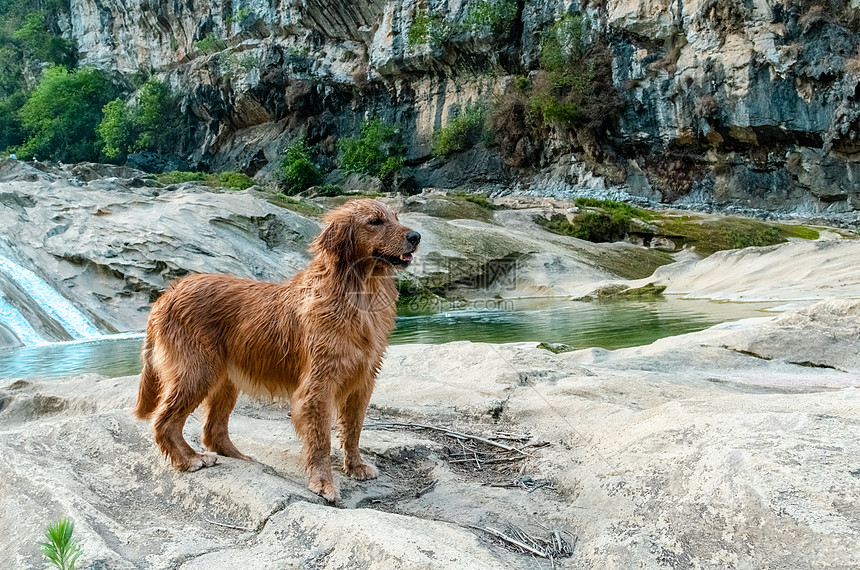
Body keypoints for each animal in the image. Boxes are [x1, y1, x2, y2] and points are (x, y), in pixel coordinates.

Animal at [133, 197, 422, 500]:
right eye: (375, 222)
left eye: (396, 217)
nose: (416, 236)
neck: (359, 291)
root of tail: (167, 293)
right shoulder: (318, 385)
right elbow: (322, 440)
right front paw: (324, 483)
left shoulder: (363, 380)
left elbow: (353, 431)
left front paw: (355, 467)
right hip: (197, 371)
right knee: (164, 421)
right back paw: (189, 459)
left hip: (225, 379)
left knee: (212, 430)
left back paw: (239, 457)